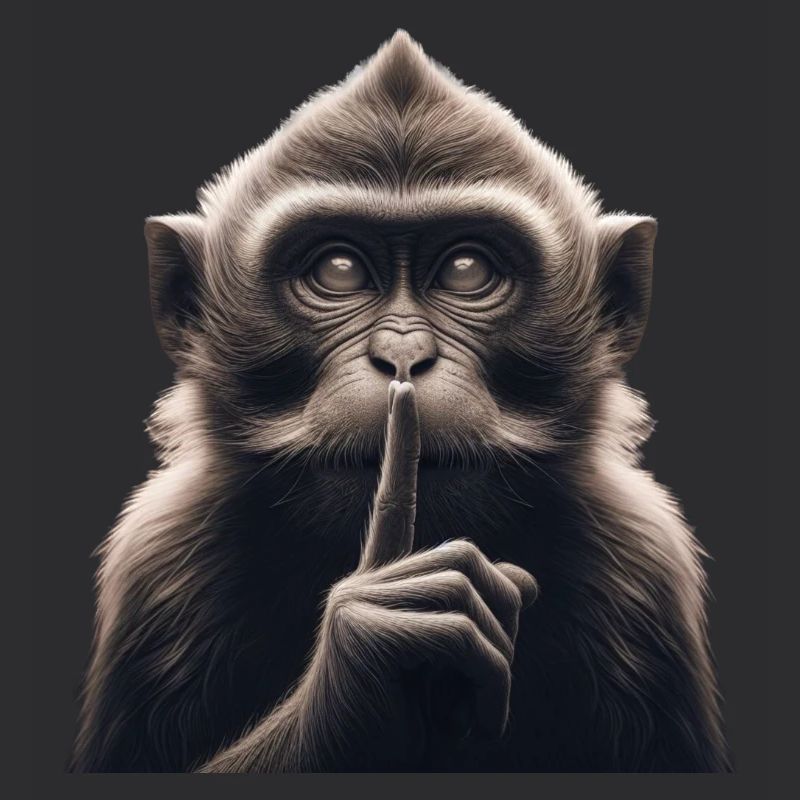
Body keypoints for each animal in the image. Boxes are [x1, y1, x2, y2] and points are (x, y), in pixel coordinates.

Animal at [70, 30, 729, 772]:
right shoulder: (158, 563)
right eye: (338, 270)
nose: (403, 354)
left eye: (467, 270)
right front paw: (371, 653)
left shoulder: (644, 567)